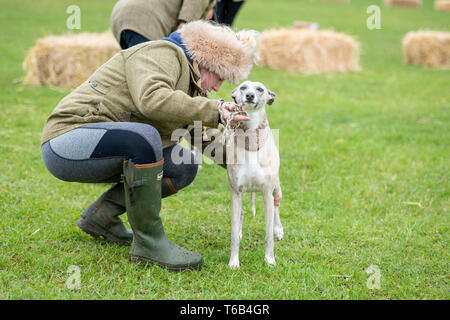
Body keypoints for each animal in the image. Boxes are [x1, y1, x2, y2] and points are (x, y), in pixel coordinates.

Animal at [227, 80, 284, 268]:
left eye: (260, 89)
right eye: (243, 87)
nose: (250, 96)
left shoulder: (266, 193)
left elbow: (268, 235)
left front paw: (270, 260)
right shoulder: (236, 193)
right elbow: (233, 235)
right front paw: (234, 262)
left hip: (276, 187)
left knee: (277, 206)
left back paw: (278, 229)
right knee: (242, 212)